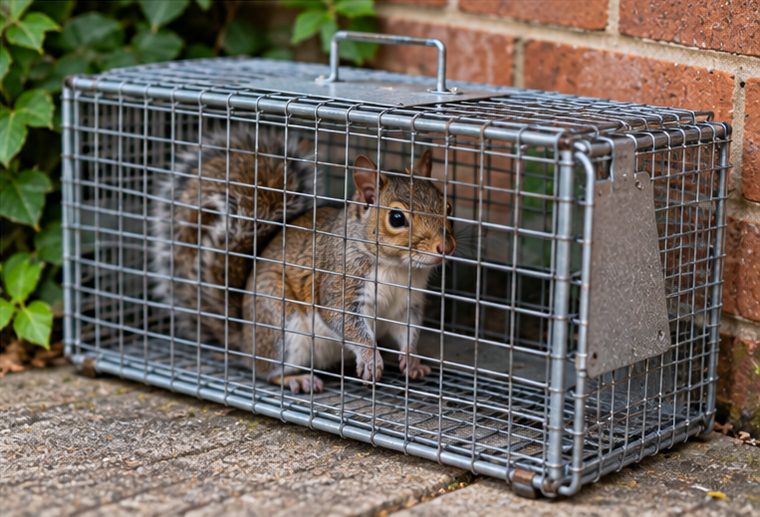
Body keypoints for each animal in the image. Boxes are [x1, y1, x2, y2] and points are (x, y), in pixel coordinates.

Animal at [151, 129, 456, 394]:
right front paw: (371, 358)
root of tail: (244, 340)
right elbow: (345, 322)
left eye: (448, 206)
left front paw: (411, 360)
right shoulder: (339, 284)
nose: (446, 247)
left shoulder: (407, 304)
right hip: (280, 326)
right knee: (268, 372)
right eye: (396, 218)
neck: (397, 268)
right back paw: (296, 379)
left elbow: (409, 331)